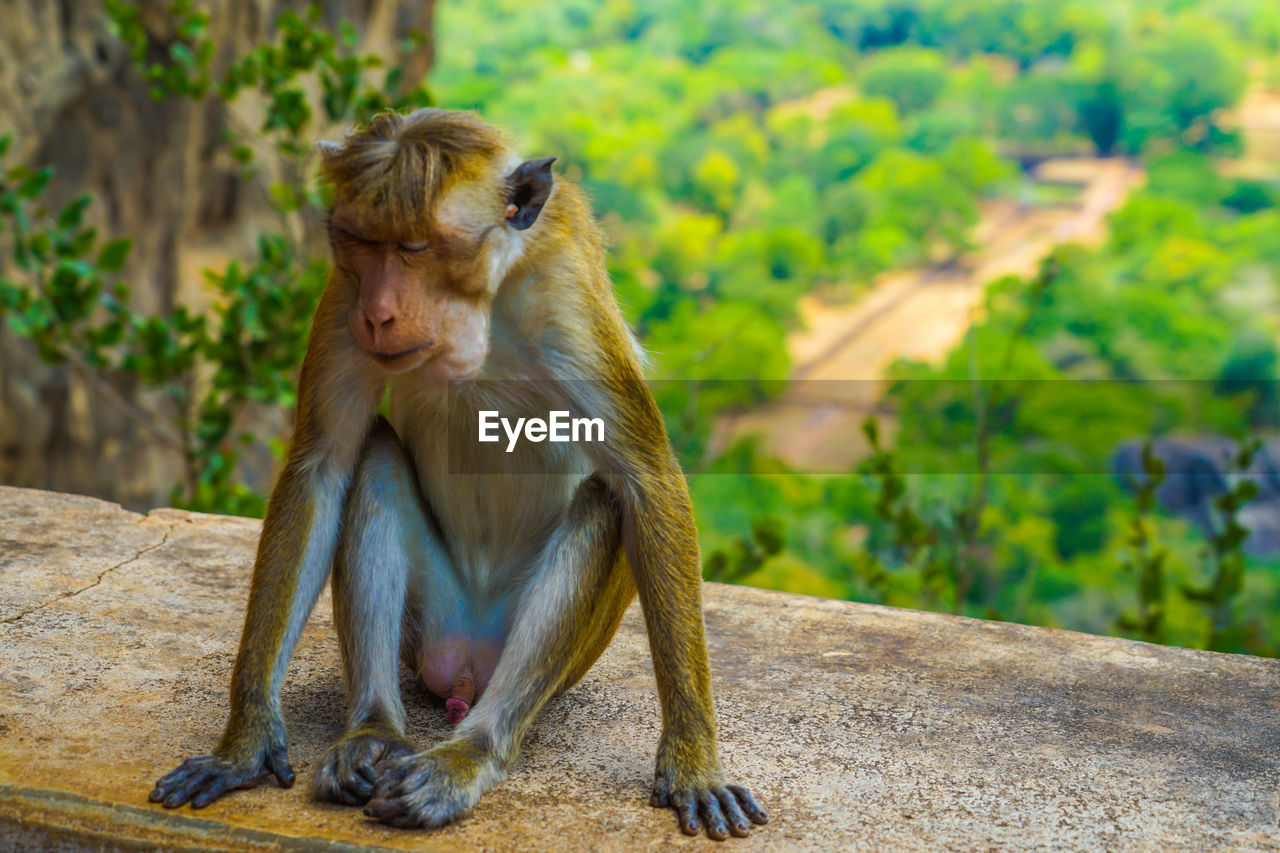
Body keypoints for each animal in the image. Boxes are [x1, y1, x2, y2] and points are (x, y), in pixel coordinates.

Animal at [149, 106, 768, 835]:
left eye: (417, 248)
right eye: (363, 242)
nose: (378, 313)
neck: (476, 310)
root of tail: (466, 669)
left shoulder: (566, 295)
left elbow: (644, 477)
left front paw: (694, 762)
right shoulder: (342, 290)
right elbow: (322, 466)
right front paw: (245, 742)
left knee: (602, 499)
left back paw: (467, 756)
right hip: (429, 628)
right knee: (374, 457)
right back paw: (372, 734)